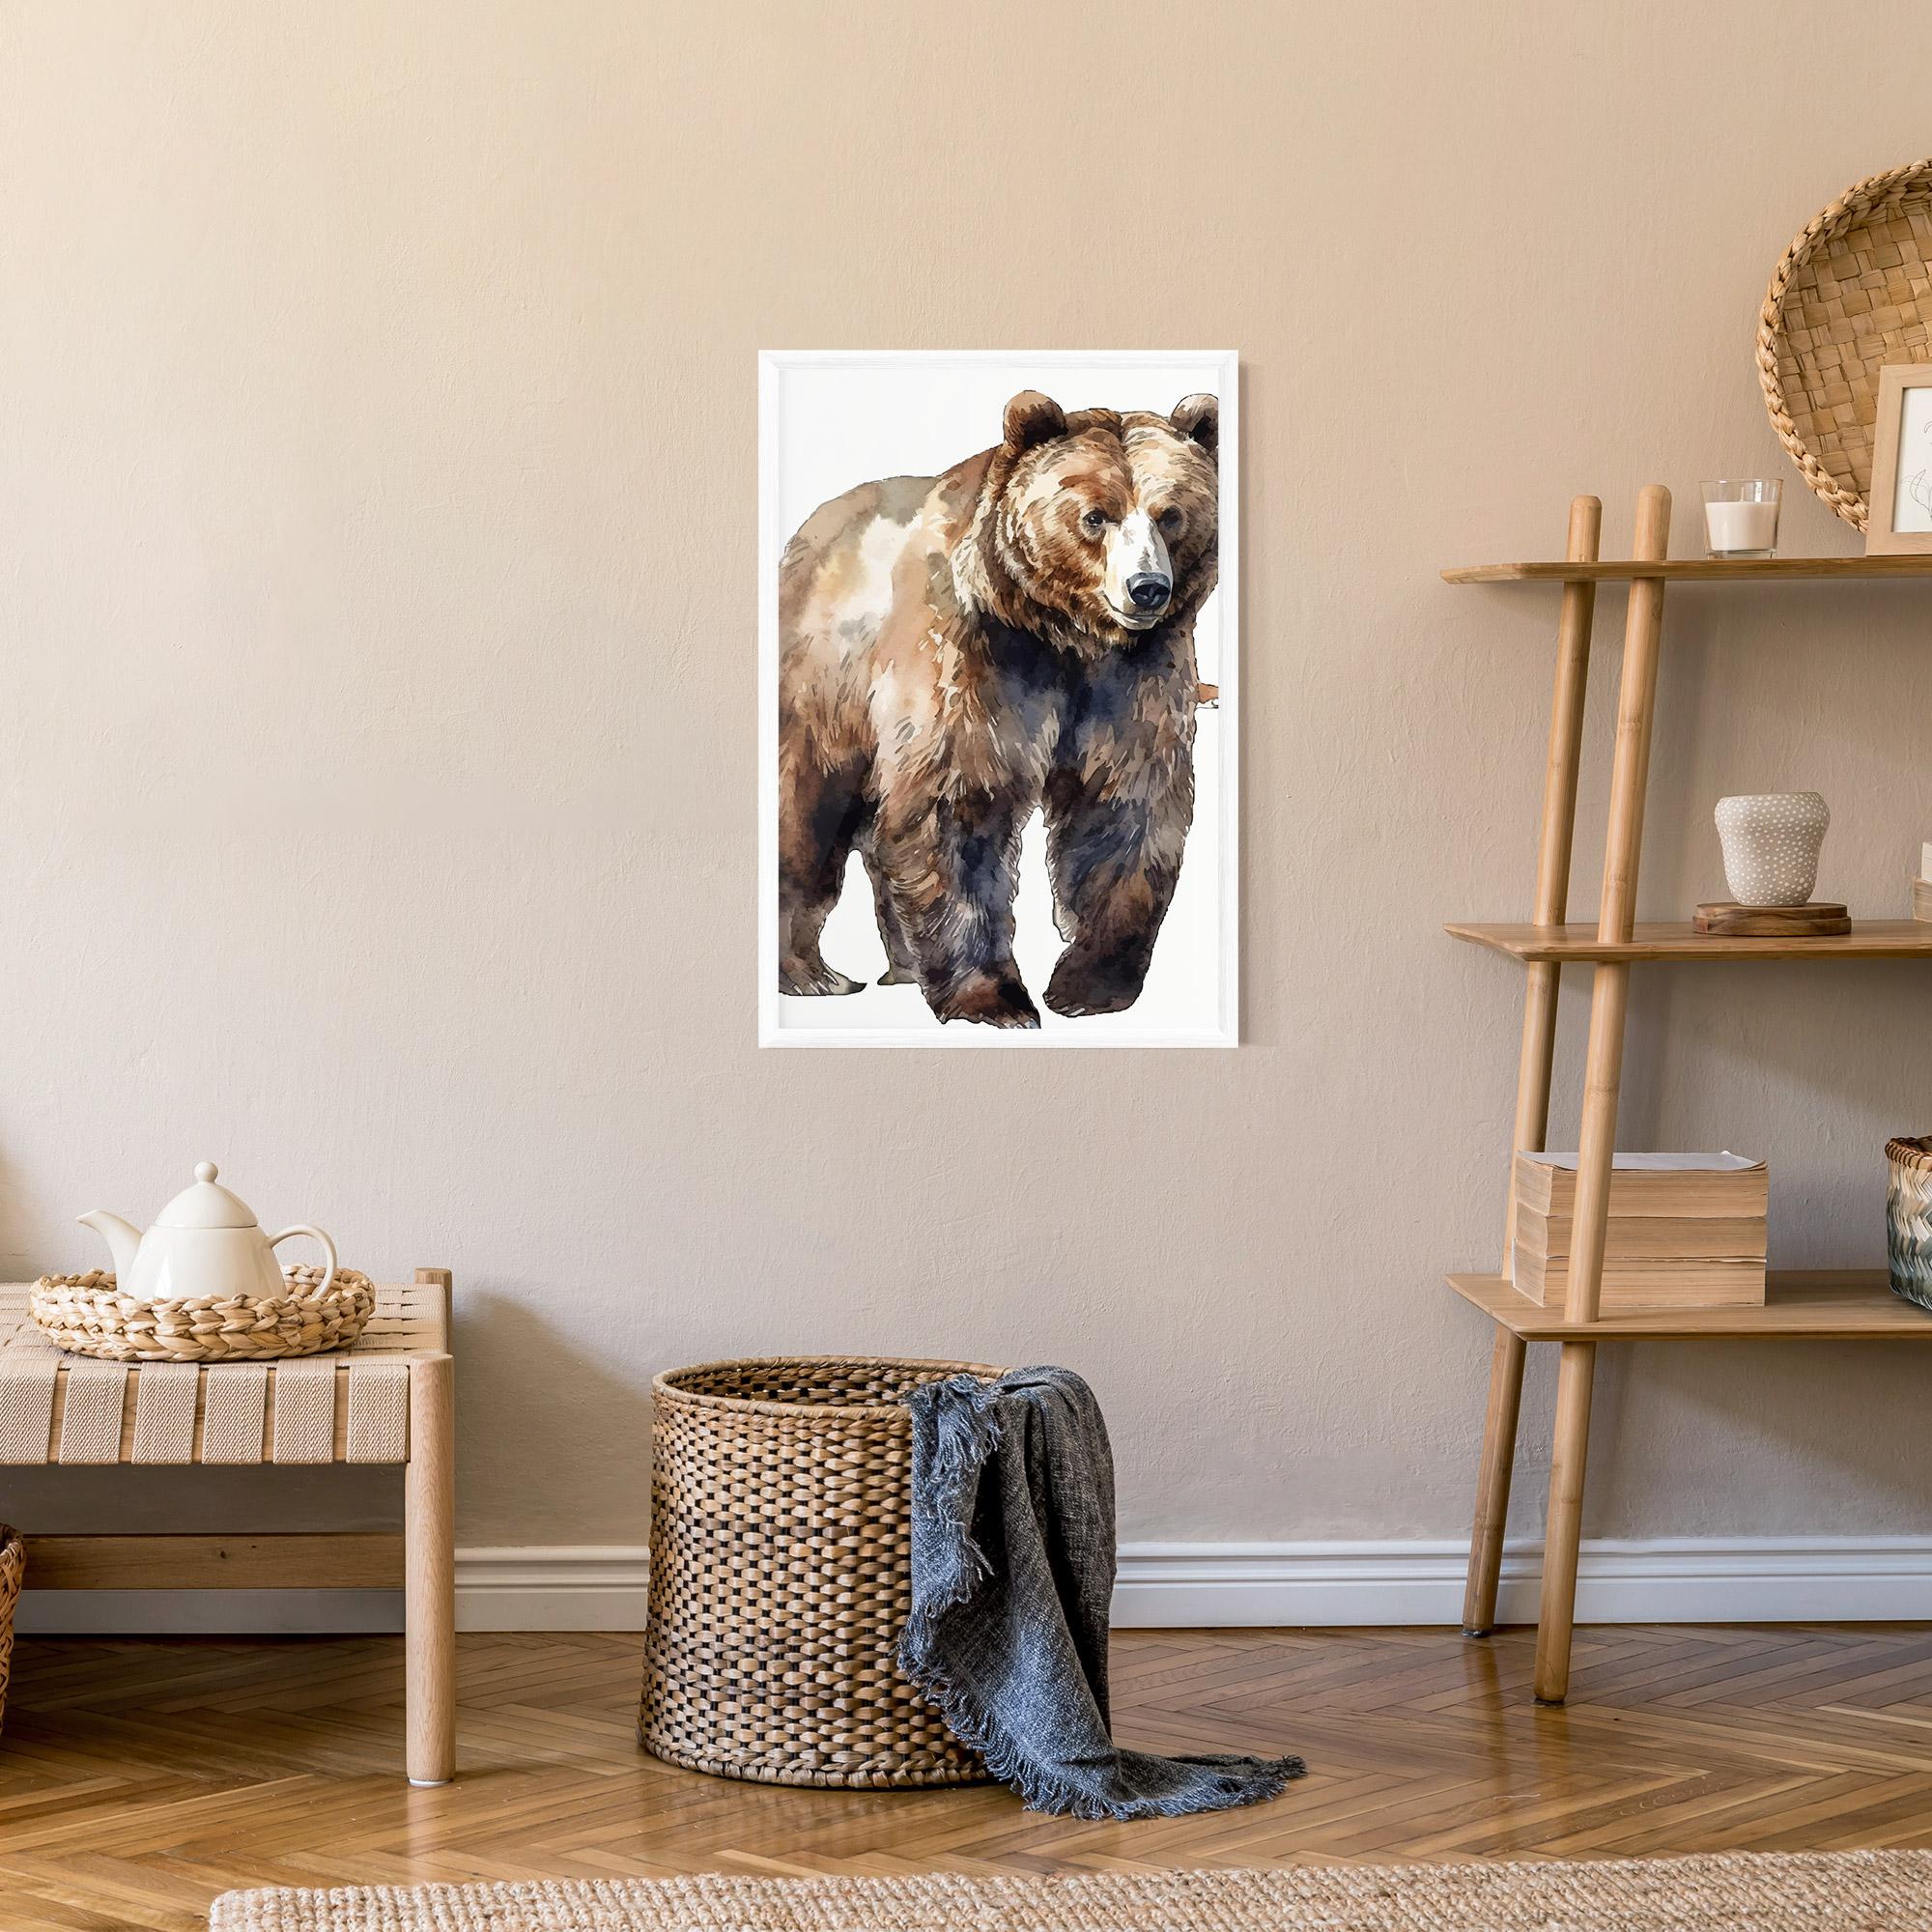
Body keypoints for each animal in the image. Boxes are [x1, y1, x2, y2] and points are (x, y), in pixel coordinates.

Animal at [776, 388, 1219, 1028]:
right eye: (1096, 515)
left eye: (1170, 514)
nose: (1148, 588)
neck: (1067, 635)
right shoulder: (975, 656)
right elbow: (959, 806)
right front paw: (994, 1000)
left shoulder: (1134, 679)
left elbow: (1122, 806)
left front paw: (1088, 986)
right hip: (825, 688)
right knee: (808, 811)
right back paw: (812, 974)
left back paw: (903, 967)